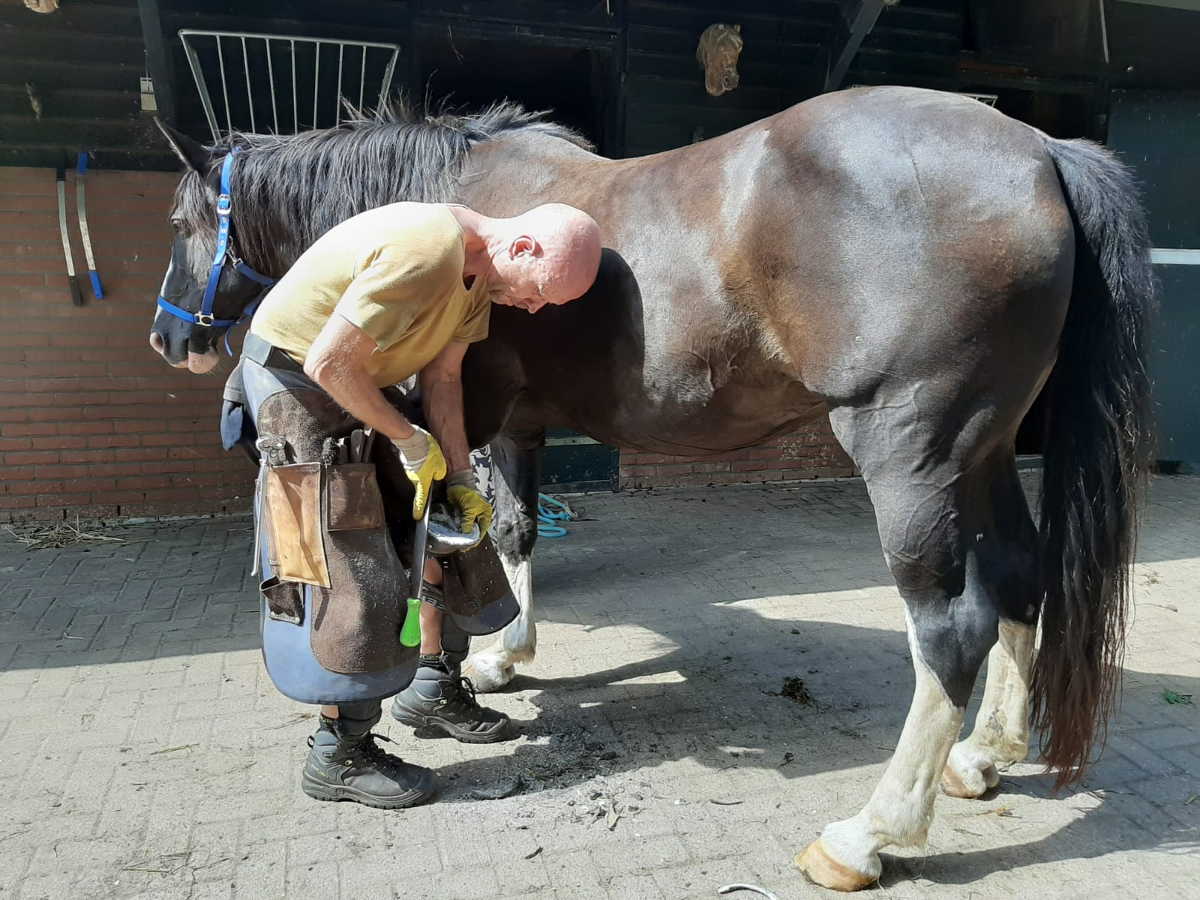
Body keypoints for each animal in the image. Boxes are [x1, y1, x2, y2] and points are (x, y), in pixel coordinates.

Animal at [147, 87, 1154, 891]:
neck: (460, 208)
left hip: (915, 456)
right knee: (1021, 579)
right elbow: (508, 531)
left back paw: (868, 837)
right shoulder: (515, 426)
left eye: (180, 223)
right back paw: (985, 756)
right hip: (984, 453)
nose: (171, 339)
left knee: (951, 629)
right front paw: (501, 659)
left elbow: (451, 544)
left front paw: (451, 682)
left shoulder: (469, 409)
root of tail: (1039, 149)